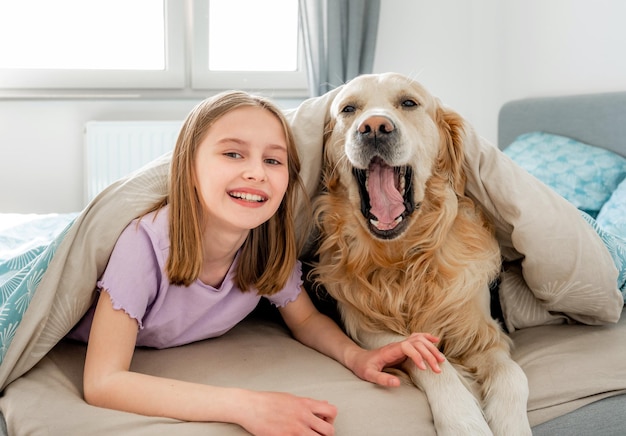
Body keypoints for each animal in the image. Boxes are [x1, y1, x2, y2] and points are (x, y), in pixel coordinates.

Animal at [310, 73, 528, 434]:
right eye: (348, 109)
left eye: (408, 103)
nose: (374, 127)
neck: (403, 258)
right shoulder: (366, 329)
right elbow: (427, 361)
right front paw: (464, 420)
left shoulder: (481, 330)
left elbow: (512, 375)